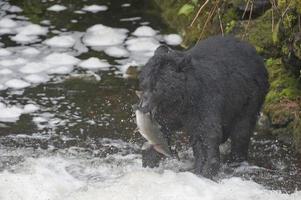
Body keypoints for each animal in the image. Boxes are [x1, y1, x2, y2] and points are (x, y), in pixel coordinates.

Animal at [137, 35, 268, 177]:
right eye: (144, 84)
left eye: (156, 88)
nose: (143, 106)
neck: (181, 98)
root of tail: (255, 52)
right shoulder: (167, 112)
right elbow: (160, 129)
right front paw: (149, 162)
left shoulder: (204, 101)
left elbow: (207, 133)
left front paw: (206, 169)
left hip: (249, 97)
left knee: (242, 131)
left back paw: (236, 160)